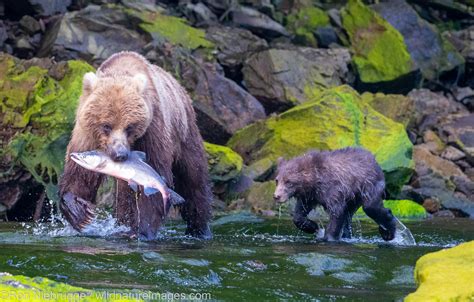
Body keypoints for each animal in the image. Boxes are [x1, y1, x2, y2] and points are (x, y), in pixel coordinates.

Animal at [60, 52, 212, 241]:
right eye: (106, 126)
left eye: (129, 127)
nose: (120, 154)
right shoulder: (86, 133)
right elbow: (80, 174)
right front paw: (79, 212)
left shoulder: (152, 130)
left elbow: (153, 176)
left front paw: (141, 230)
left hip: (184, 134)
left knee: (193, 180)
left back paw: (200, 229)